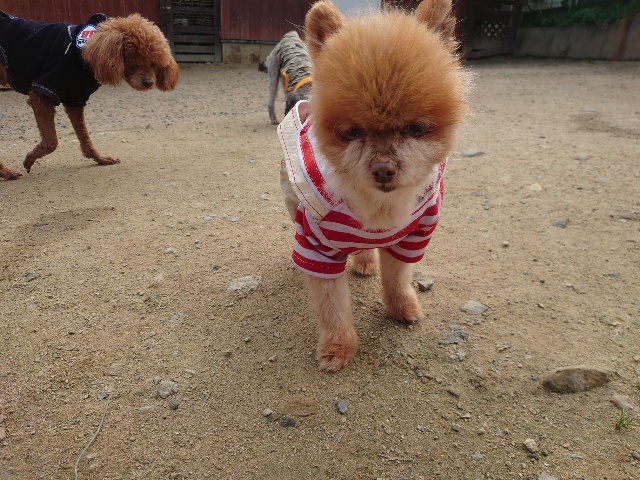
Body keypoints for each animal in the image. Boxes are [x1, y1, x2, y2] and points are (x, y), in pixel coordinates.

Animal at [0, 11, 179, 180]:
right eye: (134, 57)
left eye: (154, 63)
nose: (149, 82)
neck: (84, 53)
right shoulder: (42, 93)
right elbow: (51, 142)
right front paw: (29, 159)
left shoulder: (75, 101)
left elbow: (85, 137)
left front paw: (100, 159)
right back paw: (6, 172)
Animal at [277, 0, 469, 371]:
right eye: (351, 132)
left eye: (416, 128)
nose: (383, 168)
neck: (380, 210)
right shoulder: (317, 246)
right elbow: (332, 306)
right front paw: (337, 347)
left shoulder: (412, 236)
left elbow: (397, 279)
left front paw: (402, 308)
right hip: (294, 206)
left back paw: (366, 261)